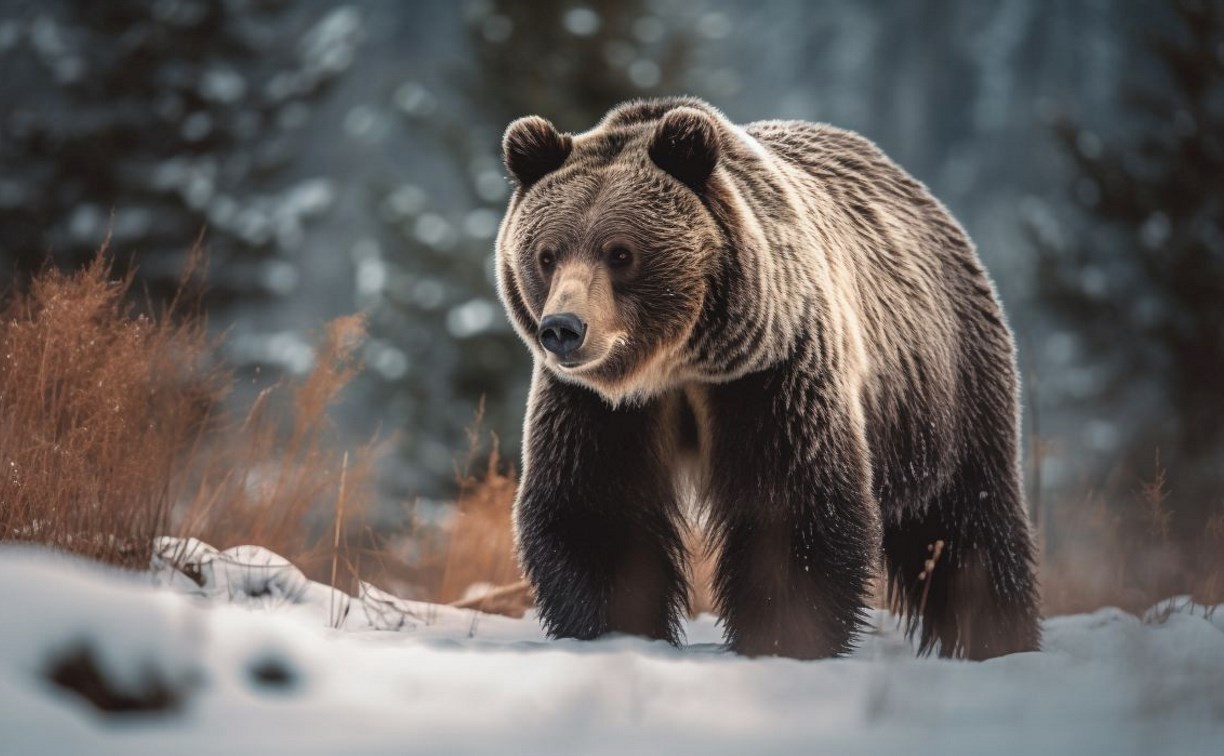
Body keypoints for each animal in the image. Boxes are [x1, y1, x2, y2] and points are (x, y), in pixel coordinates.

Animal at [492, 97, 1037, 655]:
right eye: (547, 254)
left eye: (621, 252)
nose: (563, 329)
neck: (679, 361)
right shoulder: (597, 405)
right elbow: (597, 512)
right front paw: (613, 630)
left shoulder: (772, 374)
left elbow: (791, 511)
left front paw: (786, 636)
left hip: (945, 389)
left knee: (969, 521)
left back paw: (999, 634)